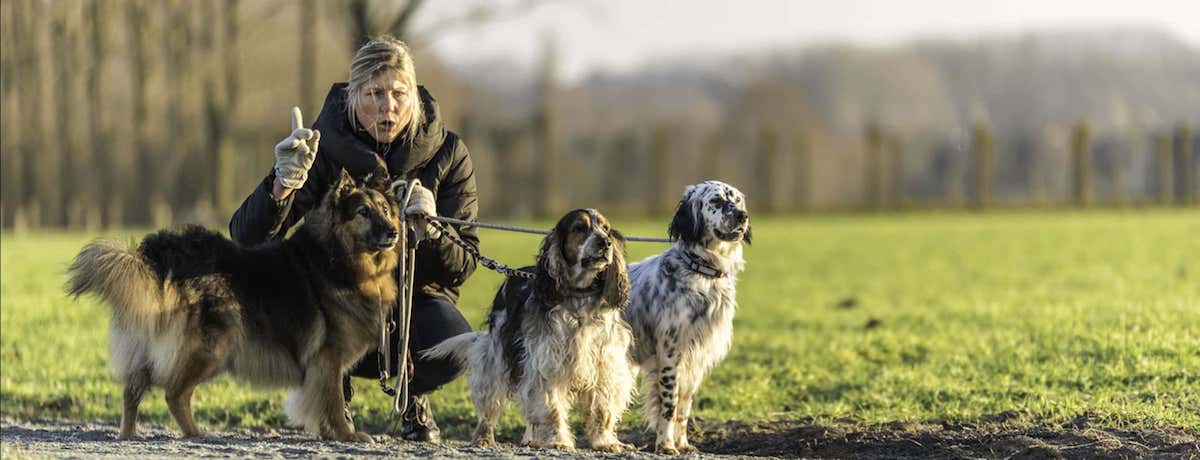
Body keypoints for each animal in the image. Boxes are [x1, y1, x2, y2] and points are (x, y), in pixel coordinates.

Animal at [68, 168, 398, 441]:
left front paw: (330, 433)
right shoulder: (327, 357)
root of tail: (157, 257)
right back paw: (195, 433)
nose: (393, 231)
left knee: (133, 390)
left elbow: (321, 402)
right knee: (174, 393)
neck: (337, 255)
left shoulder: (324, 366)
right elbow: (333, 401)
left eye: (385, 210)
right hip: (213, 347)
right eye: (363, 212)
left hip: (153, 345)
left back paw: (128, 433)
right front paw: (347, 435)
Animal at [424, 210, 638, 453]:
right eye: (579, 228)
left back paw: (530, 438)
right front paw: (557, 440)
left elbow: (602, 409)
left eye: (606, 229)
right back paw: (483, 437)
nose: (605, 242)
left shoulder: (604, 365)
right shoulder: (546, 363)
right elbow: (551, 407)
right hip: (498, 359)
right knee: (490, 405)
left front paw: (606, 442)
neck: (579, 296)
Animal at [628, 180, 748, 453]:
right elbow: (669, 405)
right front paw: (666, 445)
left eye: (737, 200)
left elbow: (684, 406)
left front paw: (682, 443)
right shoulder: (670, 352)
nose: (742, 216)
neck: (702, 272)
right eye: (716, 201)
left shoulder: (696, 357)